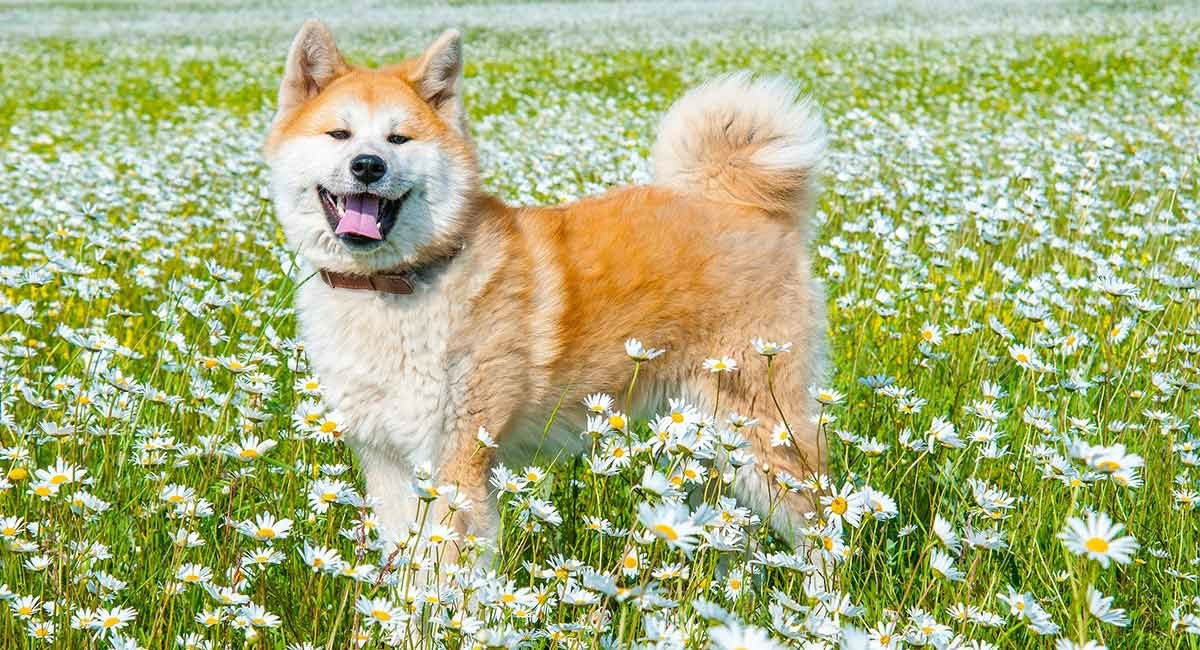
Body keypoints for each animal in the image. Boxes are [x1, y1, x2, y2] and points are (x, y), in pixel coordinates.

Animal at [264, 20, 830, 551]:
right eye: (339, 134)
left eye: (398, 139)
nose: (368, 165)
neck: (393, 285)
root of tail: (742, 205)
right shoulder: (387, 462)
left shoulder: (455, 462)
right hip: (708, 445)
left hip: (762, 434)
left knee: (824, 529)